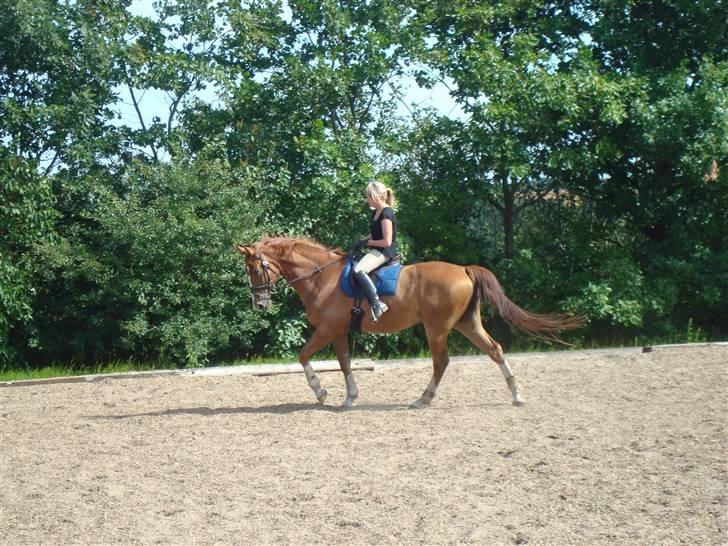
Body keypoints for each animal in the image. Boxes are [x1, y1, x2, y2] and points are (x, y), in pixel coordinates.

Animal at [236, 236, 584, 406]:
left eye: (254, 268)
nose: (260, 303)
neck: (322, 277)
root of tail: (464, 269)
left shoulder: (327, 329)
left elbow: (304, 356)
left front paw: (321, 393)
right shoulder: (338, 331)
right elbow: (345, 363)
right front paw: (350, 397)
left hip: (437, 328)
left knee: (441, 361)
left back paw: (423, 398)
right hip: (467, 323)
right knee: (495, 350)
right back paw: (516, 395)